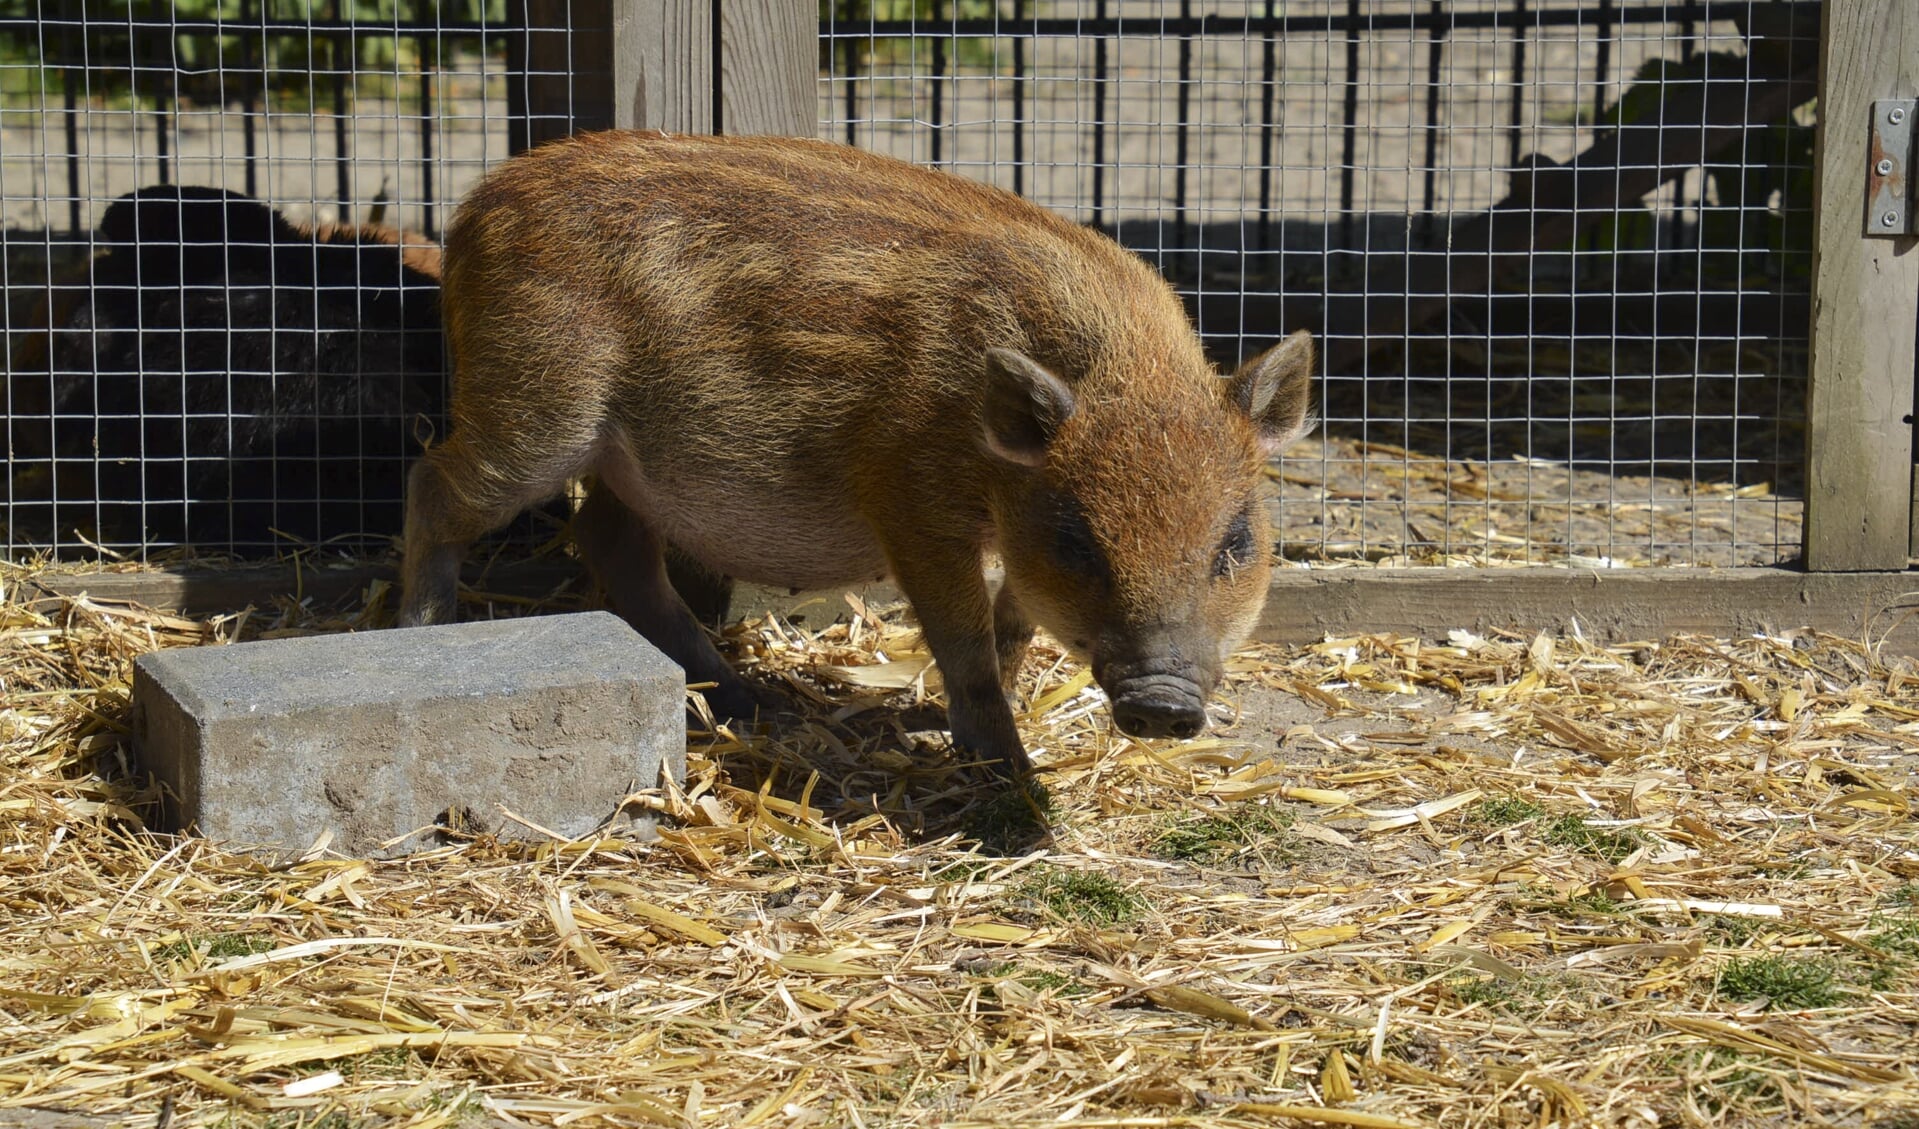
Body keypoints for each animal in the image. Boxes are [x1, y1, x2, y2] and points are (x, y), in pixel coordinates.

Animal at [397, 127, 1312, 771]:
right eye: (1077, 542)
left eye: (1234, 542)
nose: (1163, 701)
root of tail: (473, 210)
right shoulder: (908, 496)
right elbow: (963, 637)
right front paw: (1004, 765)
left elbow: (1011, 625)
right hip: (536, 408)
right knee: (432, 485)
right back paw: (422, 629)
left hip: (618, 458)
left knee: (612, 544)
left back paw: (752, 702)